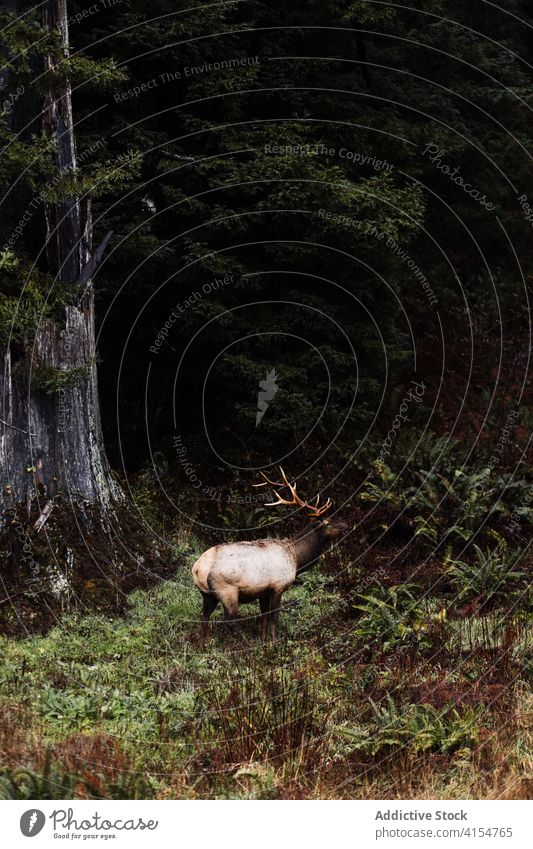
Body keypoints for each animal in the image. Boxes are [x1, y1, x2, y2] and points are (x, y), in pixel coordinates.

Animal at [192, 470, 350, 636]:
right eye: (329, 522)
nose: (346, 523)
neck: (296, 559)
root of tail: (197, 568)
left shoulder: (263, 592)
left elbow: (264, 617)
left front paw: (263, 639)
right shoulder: (277, 586)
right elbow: (274, 617)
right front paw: (274, 640)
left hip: (207, 594)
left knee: (204, 615)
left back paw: (206, 640)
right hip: (227, 591)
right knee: (230, 620)